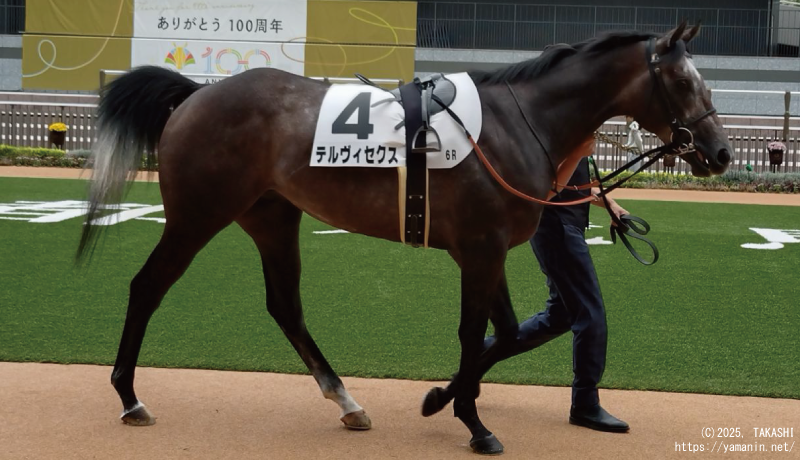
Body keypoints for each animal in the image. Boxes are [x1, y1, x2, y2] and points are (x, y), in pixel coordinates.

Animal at [78, 22, 731, 455]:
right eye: (681, 78)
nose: (721, 153)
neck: (518, 125)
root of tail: (196, 93)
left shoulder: (488, 251)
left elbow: (505, 332)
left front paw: (441, 398)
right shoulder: (480, 249)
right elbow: (476, 334)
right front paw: (469, 420)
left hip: (271, 215)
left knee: (285, 306)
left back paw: (347, 402)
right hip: (199, 214)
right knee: (147, 287)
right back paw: (130, 398)